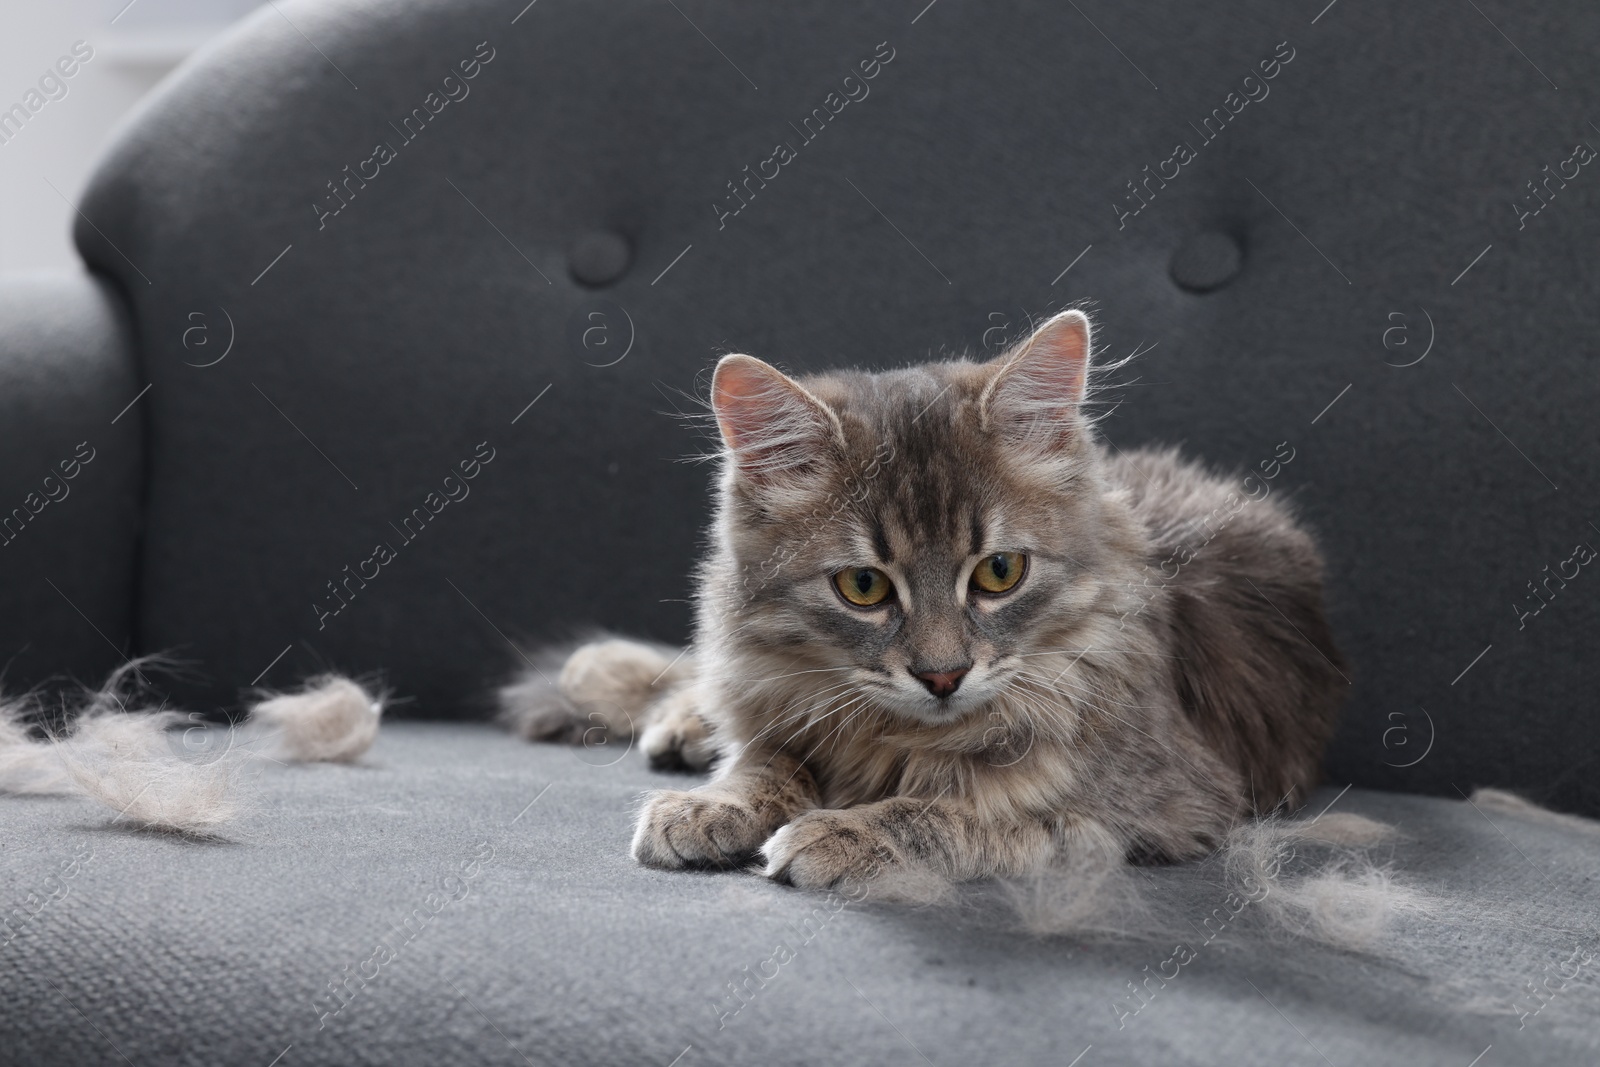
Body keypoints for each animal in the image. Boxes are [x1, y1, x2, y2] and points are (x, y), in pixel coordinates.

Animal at [502, 310, 1350, 895]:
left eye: (1000, 572)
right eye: (864, 586)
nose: (942, 675)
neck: (892, 734)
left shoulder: (1152, 808)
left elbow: (957, 811)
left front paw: (843, 832)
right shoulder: (784, 708)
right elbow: (764, 762)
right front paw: (707, 805)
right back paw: (631, 692)